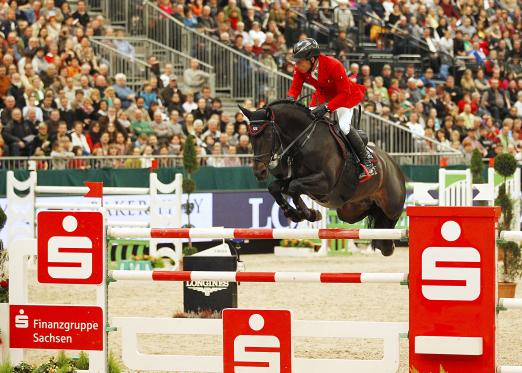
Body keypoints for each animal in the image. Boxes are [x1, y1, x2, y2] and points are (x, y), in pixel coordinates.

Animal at [240, 99, 406, 256]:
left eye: (268, 135)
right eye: (250, 136)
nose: (259, 172)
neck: (304, 141)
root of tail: (392, 163)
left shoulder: (324, 184)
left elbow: (294, 187)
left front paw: (310, 214)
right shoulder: (294, 179)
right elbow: (275, 187)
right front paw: (295, 214)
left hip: (392, 206)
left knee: (390, 220)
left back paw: (388, 245)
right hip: (349, 211)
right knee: (372, 215)